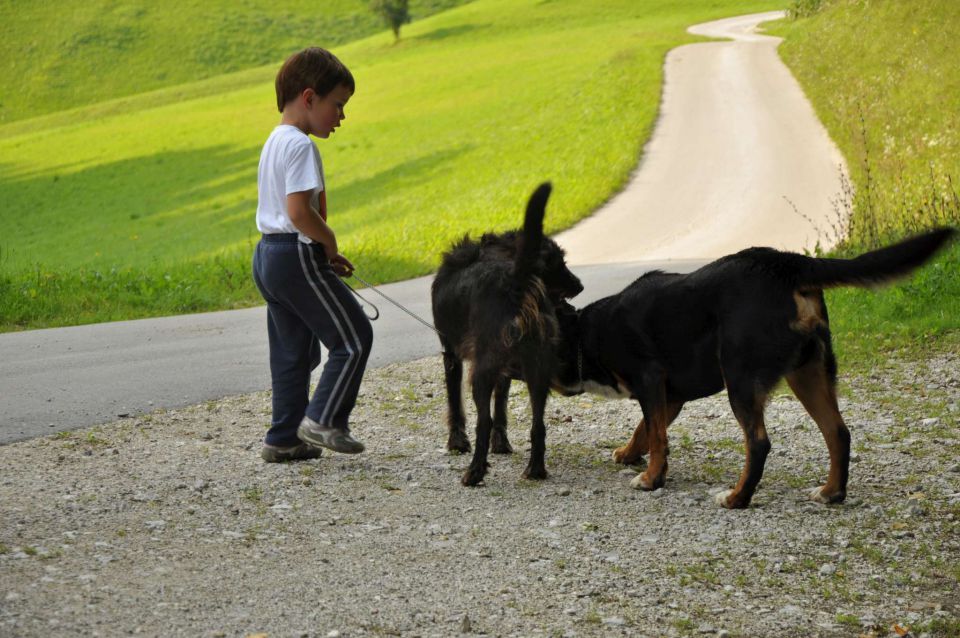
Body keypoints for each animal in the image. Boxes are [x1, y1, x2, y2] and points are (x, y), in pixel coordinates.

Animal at [432, 182, 580, 488]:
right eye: (558, 263)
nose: (579, 285)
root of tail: (513, 281)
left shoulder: (451, 355)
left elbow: (456, 403)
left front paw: (457, 442)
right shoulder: (506, 369)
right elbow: (501, 404)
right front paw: (501, 443)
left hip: (482, 370)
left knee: (483, 421)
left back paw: (474, 472)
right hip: (537, 370)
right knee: (538, 424)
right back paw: (535, 470)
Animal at [552, 229, 956, 510]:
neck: (589, 332)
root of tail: (784, 263)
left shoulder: (651, 381)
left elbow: (656, 436)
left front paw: (651, 479)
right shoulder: (670, 397)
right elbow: (647, 430)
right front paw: (629, 453)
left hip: (741, 378)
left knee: (759, 443)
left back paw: (737, 498)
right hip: (808, 372)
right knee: (838, 432)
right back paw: (831, 492)